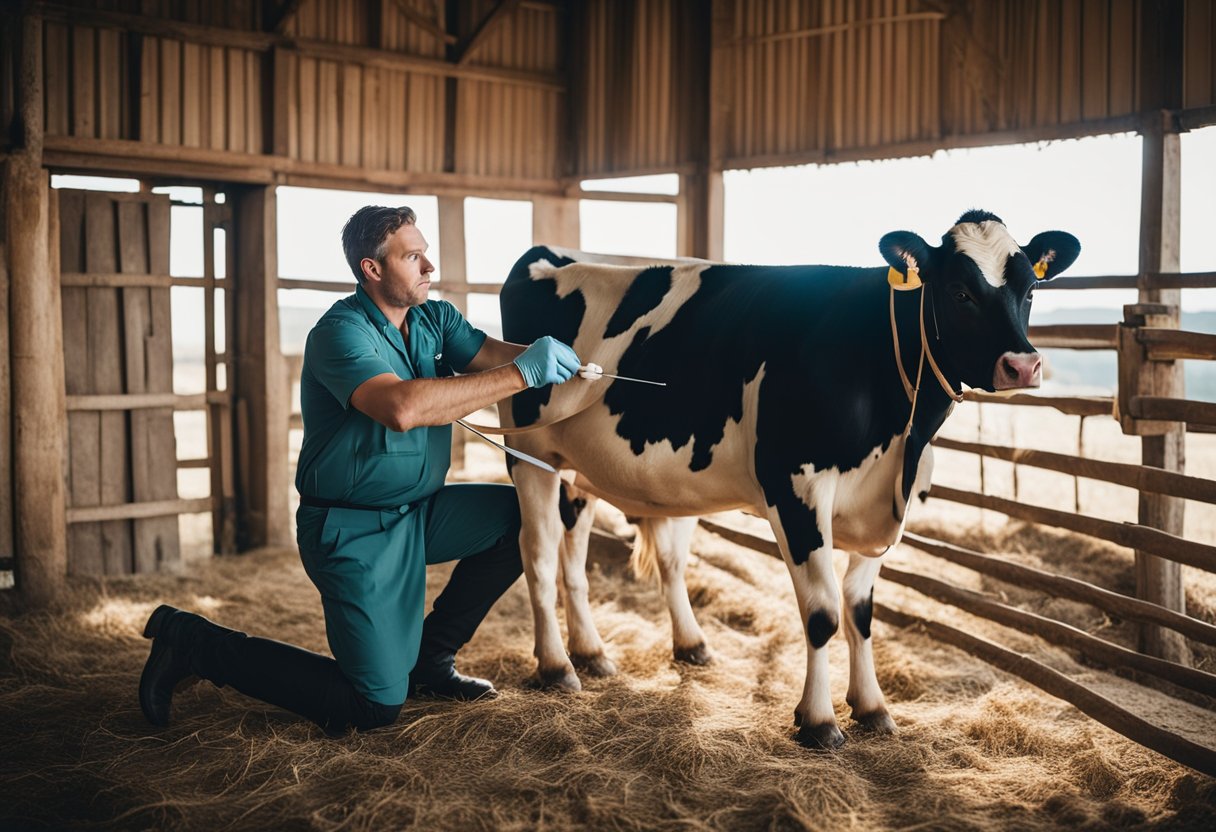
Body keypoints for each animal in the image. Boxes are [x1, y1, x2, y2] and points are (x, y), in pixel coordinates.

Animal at [488, 208, 1079, 749]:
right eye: (959, 291)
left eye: (1029, 289)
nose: (1023, 365)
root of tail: (547, 254)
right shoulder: (797, 490)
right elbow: (823, 613)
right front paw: (818, 721)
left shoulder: (890, 503)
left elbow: (860, 611)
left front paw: (873, 707)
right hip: (529, 452)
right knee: (540, 557)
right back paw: (557, 666)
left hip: (576, 468)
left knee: (593, 560)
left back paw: (614, 651)